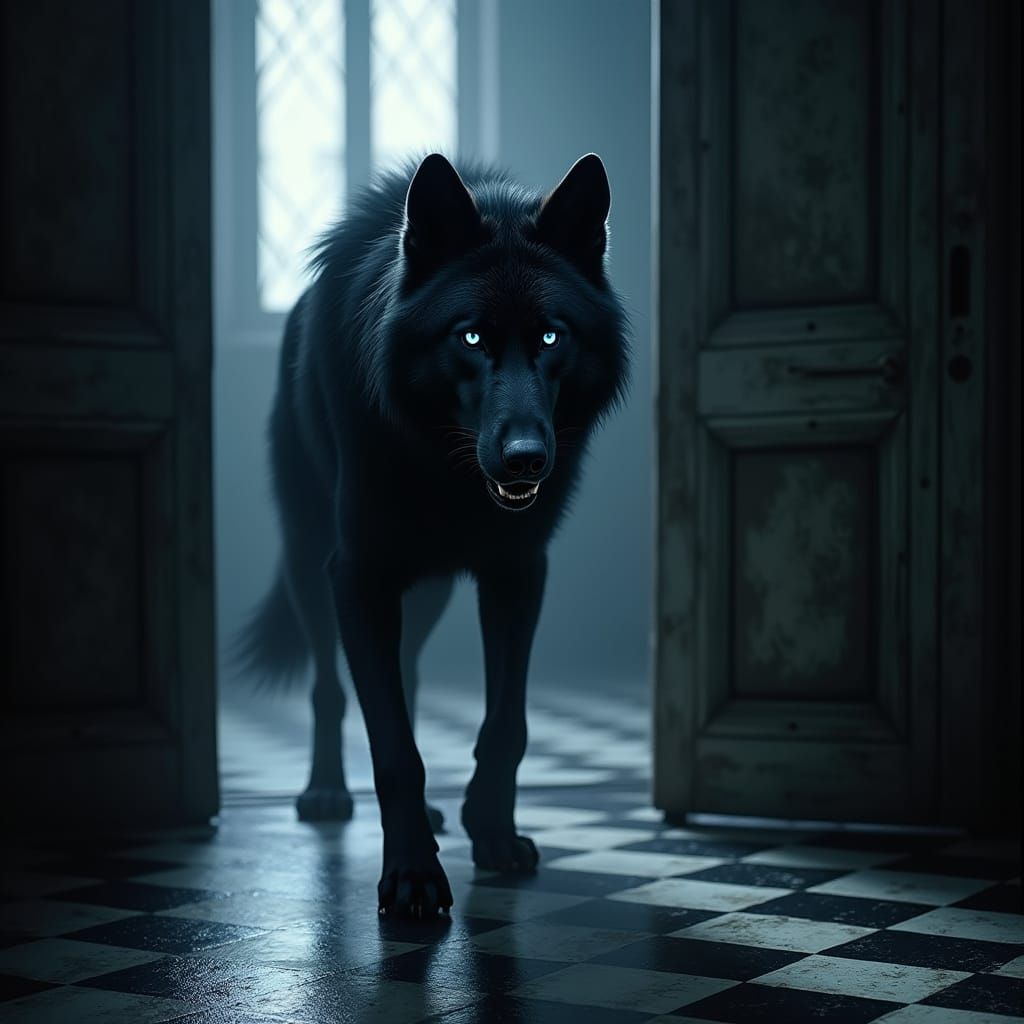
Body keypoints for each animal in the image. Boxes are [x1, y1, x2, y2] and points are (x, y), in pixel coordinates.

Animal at [238, 152, 630, 915]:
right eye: (470, 337)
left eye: (551, 336)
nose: (526, 459)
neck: (446, 472)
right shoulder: (358, 575)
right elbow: (391, 745)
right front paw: (413, 875)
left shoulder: (516, 570)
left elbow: (506, 724)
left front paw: (493, 833)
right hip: (310, 566)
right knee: (331, 688)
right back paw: (325, 793)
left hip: (428, 593)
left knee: (410, 676)